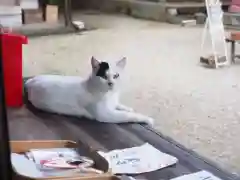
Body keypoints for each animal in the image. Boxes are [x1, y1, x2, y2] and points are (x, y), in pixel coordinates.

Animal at [25, 57, 154, 126]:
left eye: (116, 75)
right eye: (104, 76)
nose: (111, 83)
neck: (109, 95)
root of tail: (31, 81)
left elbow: (120, 106)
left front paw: (127, 108)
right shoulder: (106, 115)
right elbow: (127, 115)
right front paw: (146, 119)